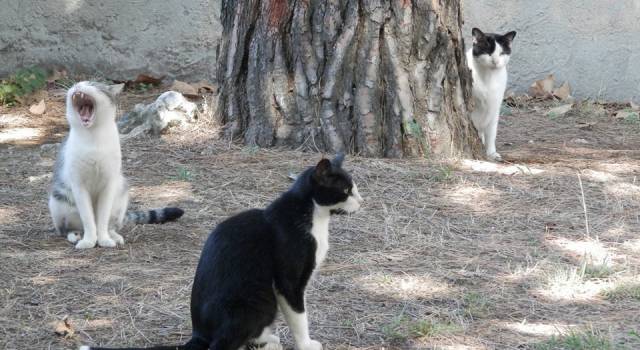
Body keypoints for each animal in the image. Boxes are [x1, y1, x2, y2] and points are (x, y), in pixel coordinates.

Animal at [47, 81, 182, 249]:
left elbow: (102, 218)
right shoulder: (79, 185)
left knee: (111, 224)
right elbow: (88, 219)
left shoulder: (109, 184)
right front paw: (89, 241)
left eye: (92, 84)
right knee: (68, 227)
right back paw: (76, 235)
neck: (93, 137)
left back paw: (114, 236)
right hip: (59, 199)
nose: (77, 86)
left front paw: (104, 239)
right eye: (75, 84)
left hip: (121, 195)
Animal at [80, 154, 362, 350]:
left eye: (355, 189)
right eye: (345, 191)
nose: (361, 201)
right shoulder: (288, 281)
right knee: (224, 344)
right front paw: (306, 344)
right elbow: (299, 316)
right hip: (256, 300)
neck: (313, 215)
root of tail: (198, 333)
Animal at [468, 27, 516, 161]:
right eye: (488, 52)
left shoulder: (494, 107)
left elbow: (491, 133)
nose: (495, 61)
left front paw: (491, 153)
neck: (488, 77)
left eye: (501, 53)